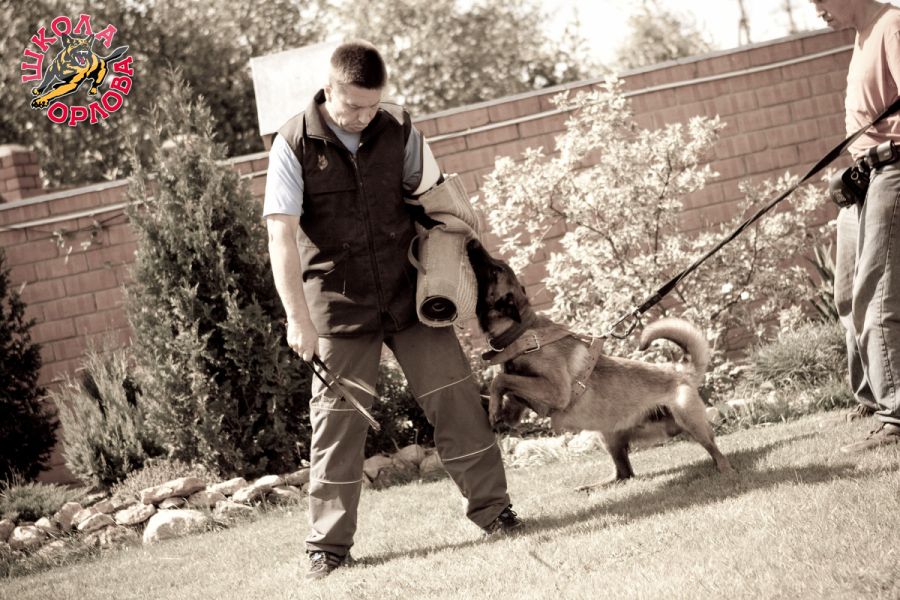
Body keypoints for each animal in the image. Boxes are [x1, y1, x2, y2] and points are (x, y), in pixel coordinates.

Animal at [467, 241, 733, 490]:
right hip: (608, 437)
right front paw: (491, 408)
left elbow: (499, 379)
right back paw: (593, 486)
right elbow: (502, 388)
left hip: (690, 421)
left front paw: (492, 408)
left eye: (495, 269)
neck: (522, 333)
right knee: (624, 473)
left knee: (716, 452)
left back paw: (722, 470)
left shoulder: (556, 390)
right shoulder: (518, 407)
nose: (472, 242)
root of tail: (681, 372)